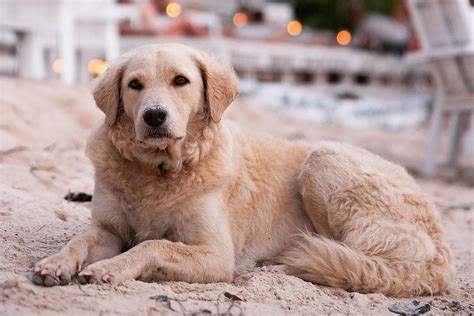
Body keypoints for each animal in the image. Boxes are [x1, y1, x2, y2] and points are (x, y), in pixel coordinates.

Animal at [32, 43, 456, 296]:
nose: (154, 116)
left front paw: (110, 268)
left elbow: (154, 244)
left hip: (324, 158)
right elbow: (80, 241)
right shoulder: (108, 229)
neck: (160, 170)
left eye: (180, 80)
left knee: (365, 263)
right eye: (134, 84)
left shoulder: (217, 255)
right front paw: (55, 262)